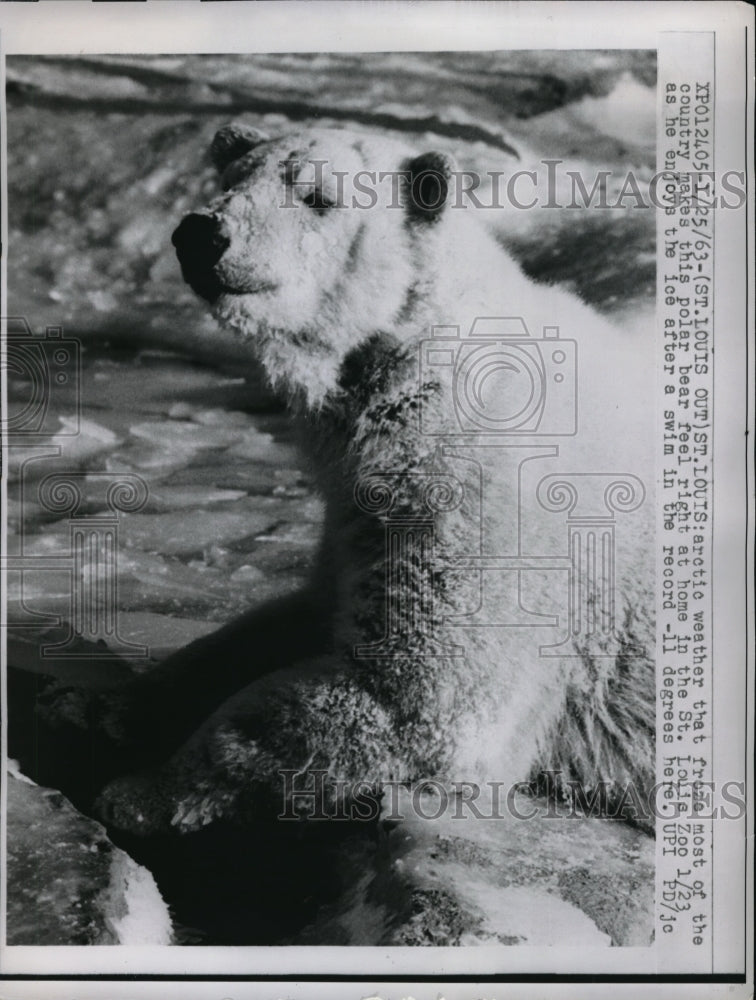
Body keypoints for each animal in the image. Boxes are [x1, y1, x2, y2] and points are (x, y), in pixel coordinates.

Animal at [94, 123, 655, 845]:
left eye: (316, 195)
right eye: (233, 175)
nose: (202, 234)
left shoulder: (488, 513)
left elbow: (414, 704)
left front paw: (141, 792)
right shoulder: (359, 512)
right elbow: (297, 617)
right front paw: (106, 703)